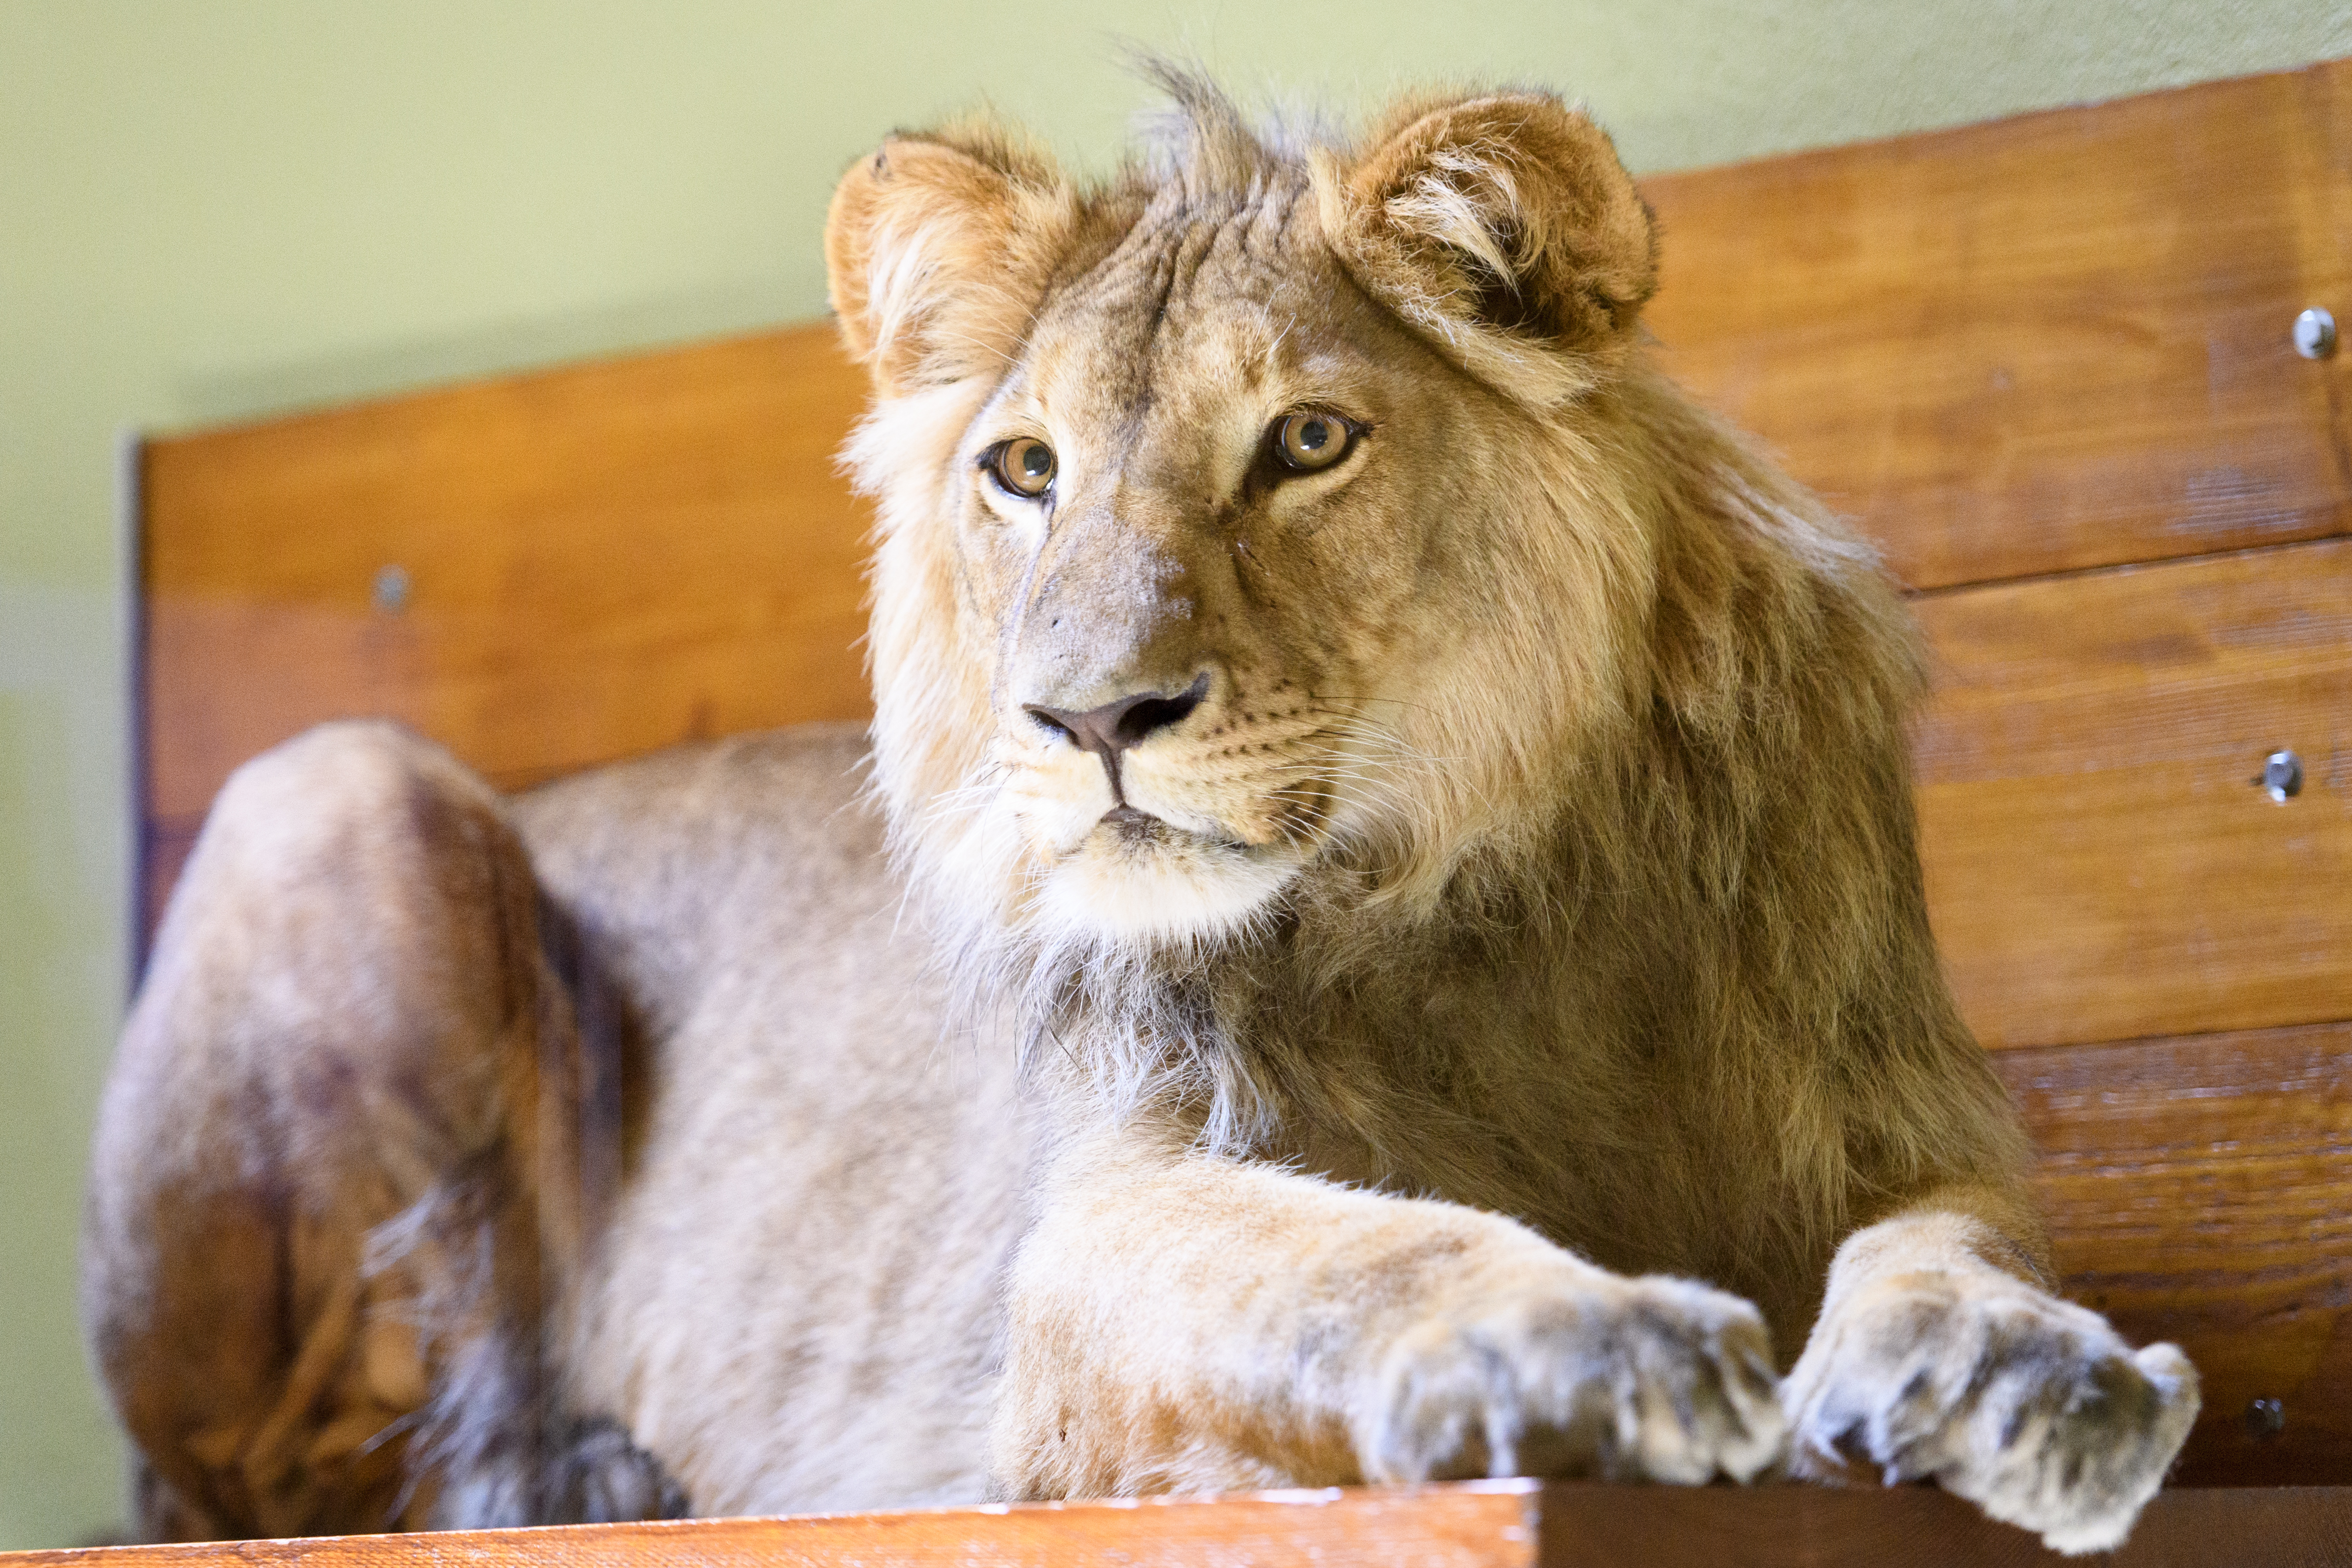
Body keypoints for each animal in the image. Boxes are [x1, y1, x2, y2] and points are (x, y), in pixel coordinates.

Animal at [82, 73, 2198, 1554]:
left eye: (1308, 442)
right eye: (1023, 469)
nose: (1090, 716)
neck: (1483, 896)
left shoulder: (1900, 1119)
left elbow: (1960, 1246)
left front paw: (2026, 1376)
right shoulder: (1085, 1236)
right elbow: (1347, 1253)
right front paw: (1588, 1346)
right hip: (340, 787)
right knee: (275, 1471)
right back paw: (575, 1476)